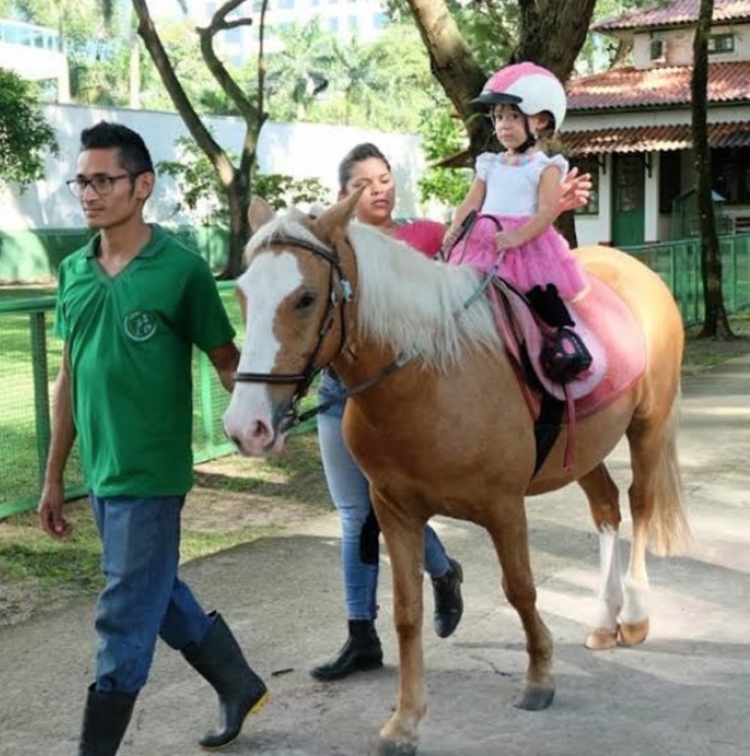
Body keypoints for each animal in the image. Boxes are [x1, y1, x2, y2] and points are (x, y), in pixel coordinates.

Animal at [225, 195, 692, 756]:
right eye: (243, 293)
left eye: (305, 298)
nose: (246, 426)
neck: (429, 376)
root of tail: (633, 268)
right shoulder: (393, 510)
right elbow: (407, 612)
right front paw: (404, 721)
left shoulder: (504, 507)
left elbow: (521, 589)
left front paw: (539, 678)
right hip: (582, 452)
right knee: (605, 507)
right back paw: (604, 621)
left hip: (648, 426)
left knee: (641, 503)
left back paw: (635, 617)